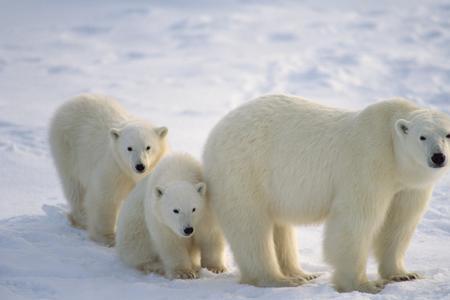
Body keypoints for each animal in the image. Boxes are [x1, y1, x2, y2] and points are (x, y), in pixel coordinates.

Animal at [49, 94, 169, 246]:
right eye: (129, 148)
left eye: (148, 147)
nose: (140, 166)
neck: (131, 174)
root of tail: (70, 102)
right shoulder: (115, 168)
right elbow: (105, 198)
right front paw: (107, 238)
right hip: (67, 148)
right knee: (74, 186)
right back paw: (81, 219)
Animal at [203, 94, 450, 292]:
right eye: (422, 136)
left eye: (447, 135)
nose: (438, 157)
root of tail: (215, 132)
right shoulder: (368, 162)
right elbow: (355, 221)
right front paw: (364, 284)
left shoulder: (409, 186)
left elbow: (399, 223)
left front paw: (404, 274)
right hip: (245, 170)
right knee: (250, 227)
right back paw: (278, 279)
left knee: (279, 227)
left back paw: (301, 273)